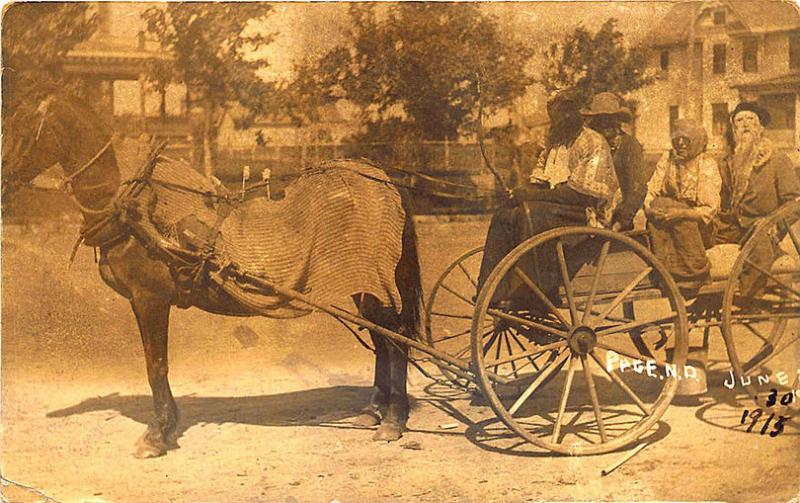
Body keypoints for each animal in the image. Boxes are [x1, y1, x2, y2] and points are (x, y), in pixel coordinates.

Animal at [6, 88, 424, 458]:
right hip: (363, 287)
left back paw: (393, 420)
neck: (135, 207)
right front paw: (169, 424)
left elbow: (156, 365)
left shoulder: (150, 299)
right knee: (382, 338)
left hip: (376, 285)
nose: (4, 177)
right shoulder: (145, 303)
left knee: (396, 341)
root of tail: (385, 181)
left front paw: (157, 434)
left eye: (21, 124)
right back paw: (373, 410)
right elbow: (154, 364)